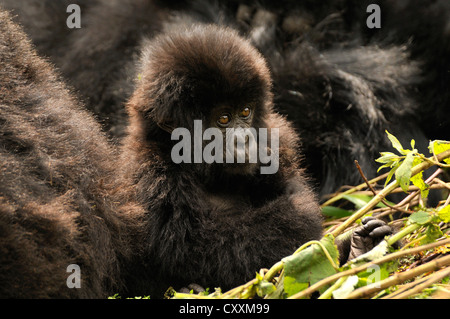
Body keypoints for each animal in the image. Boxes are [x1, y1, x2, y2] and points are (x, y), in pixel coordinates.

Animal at [120, 24, 394, 298]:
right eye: (223, 119)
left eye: (245, 111)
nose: (245, 140)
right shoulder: (154, 175)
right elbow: (194, 249)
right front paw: (301, 215)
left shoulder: (279, 141)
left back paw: (362, 249)